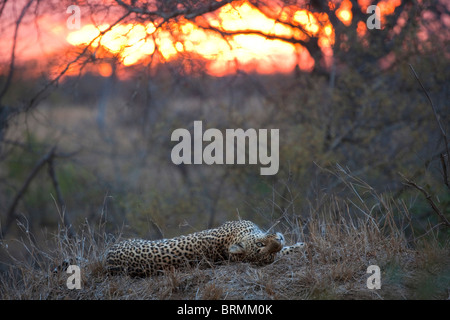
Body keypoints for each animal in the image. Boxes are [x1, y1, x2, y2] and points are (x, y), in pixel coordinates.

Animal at [105, 220, 304, 278]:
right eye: (260, 245)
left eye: (271, 255)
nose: (279, 239)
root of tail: (107, 259)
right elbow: (291, 249)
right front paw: (302, 245)